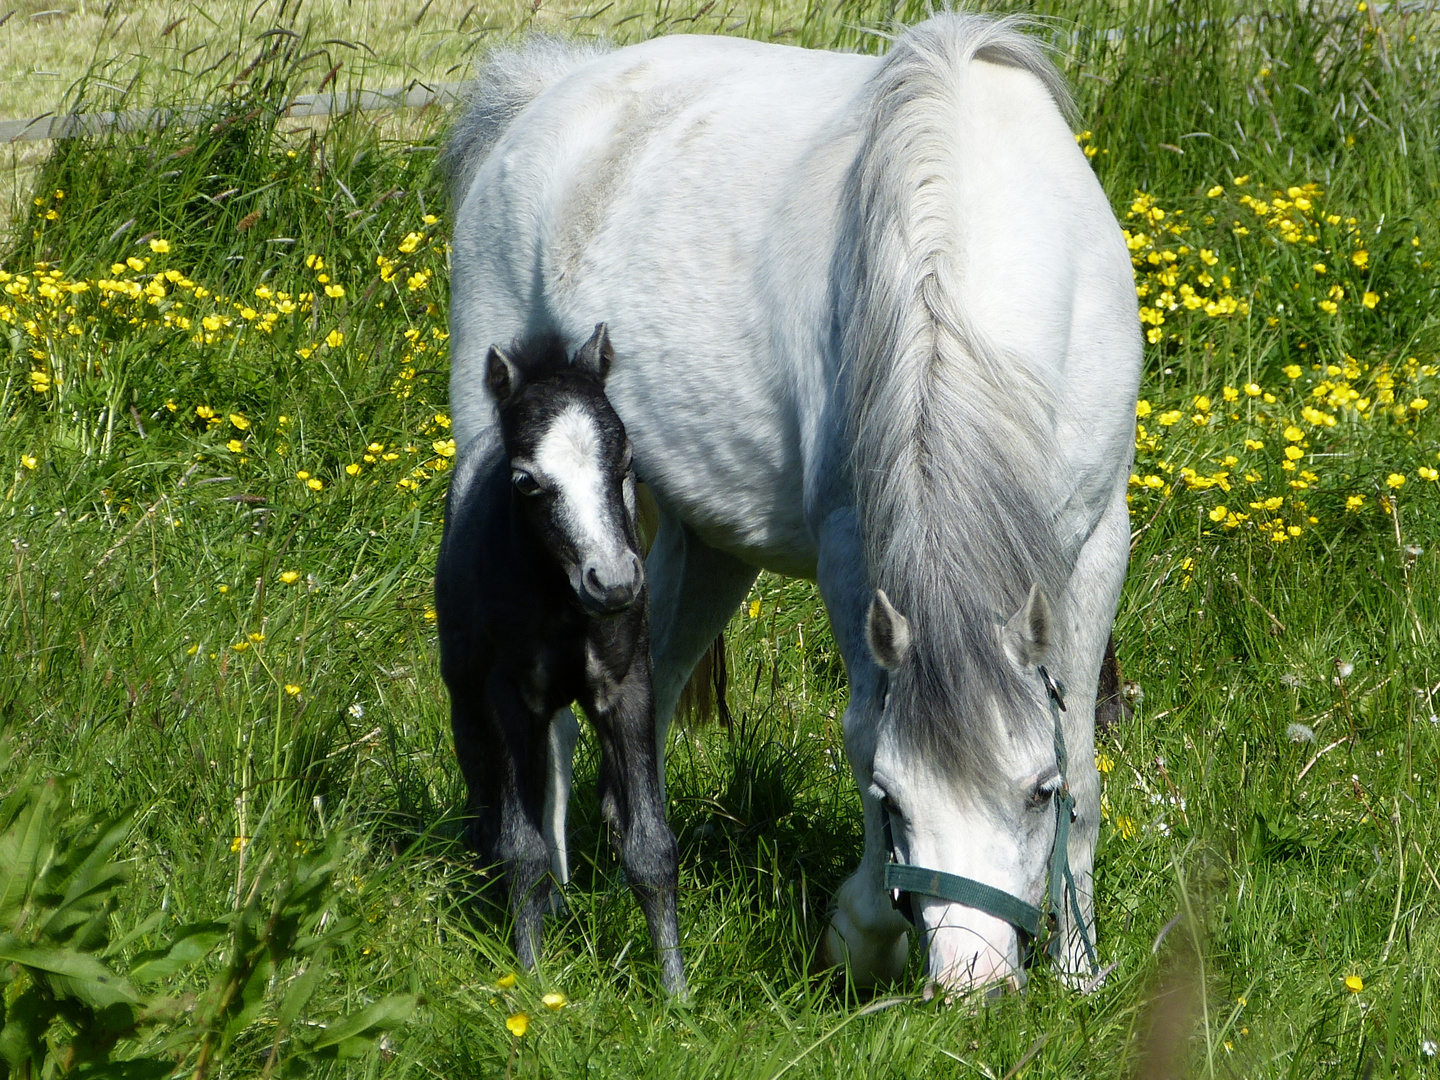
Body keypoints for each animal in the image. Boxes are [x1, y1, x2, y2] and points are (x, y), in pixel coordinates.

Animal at [432, 324, 685, 996]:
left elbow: (651, 846)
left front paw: (676, 993)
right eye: (527, 482)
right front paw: (529, 977)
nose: (615, 582)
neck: (564, 608)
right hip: (466, 697)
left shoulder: (629, 688)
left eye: (627, 464)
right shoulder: (507, 696)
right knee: (488, 809)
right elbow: (521, 850)